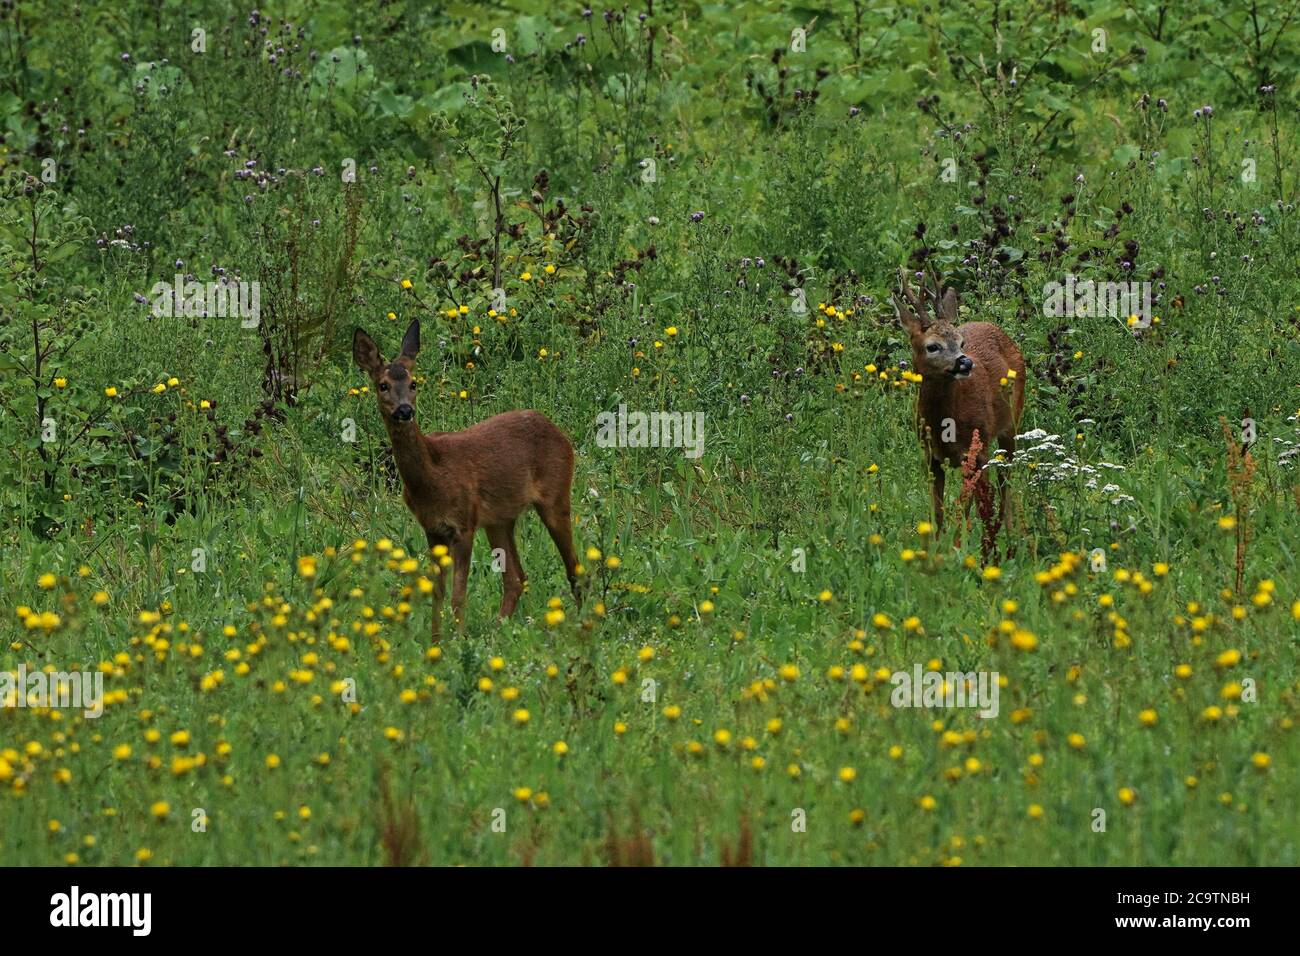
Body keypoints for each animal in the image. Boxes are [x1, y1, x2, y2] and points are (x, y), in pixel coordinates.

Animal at [353, 319, 580, 638]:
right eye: (383, 385)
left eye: (413, 383)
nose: (405, 410)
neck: (431, 478)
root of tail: (558, 432)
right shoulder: (433, 529)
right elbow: (437, 591)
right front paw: (436, 641)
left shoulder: (464, 523)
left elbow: (458, 595)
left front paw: (459, 640)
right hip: (499, 519)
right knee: (516, 578)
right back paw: (498, 631)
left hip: (556, 495)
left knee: (574, 568)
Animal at [892, 269, 1025, 536]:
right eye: (932, 346)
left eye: (961, 342)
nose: (965, 362)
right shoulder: (930, 456)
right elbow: (938, 511)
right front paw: (937, 542)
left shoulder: (976, 451)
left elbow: (965, 507)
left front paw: (959, 542)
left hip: (1010, 423)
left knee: (1005, 478)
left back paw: (1009, 532)